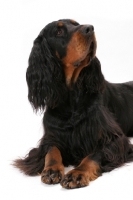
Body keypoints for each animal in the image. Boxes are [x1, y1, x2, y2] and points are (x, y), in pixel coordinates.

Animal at [13, 19, 133, 189]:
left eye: (76, 23)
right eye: (58, 32)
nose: (90, 28)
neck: (71, 97)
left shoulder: (114, 139)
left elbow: (93, 155)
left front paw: (77, 173)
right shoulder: (51, 136)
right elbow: (52, 150)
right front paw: (51, 170)